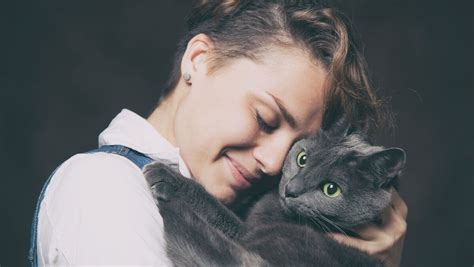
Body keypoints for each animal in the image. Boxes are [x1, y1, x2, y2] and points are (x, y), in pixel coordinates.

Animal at [145, 120, 408, 266]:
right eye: (302, 159)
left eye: (331, 189)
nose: (292, 189)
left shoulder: (245, 229)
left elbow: (216, 210)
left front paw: (168, 179)